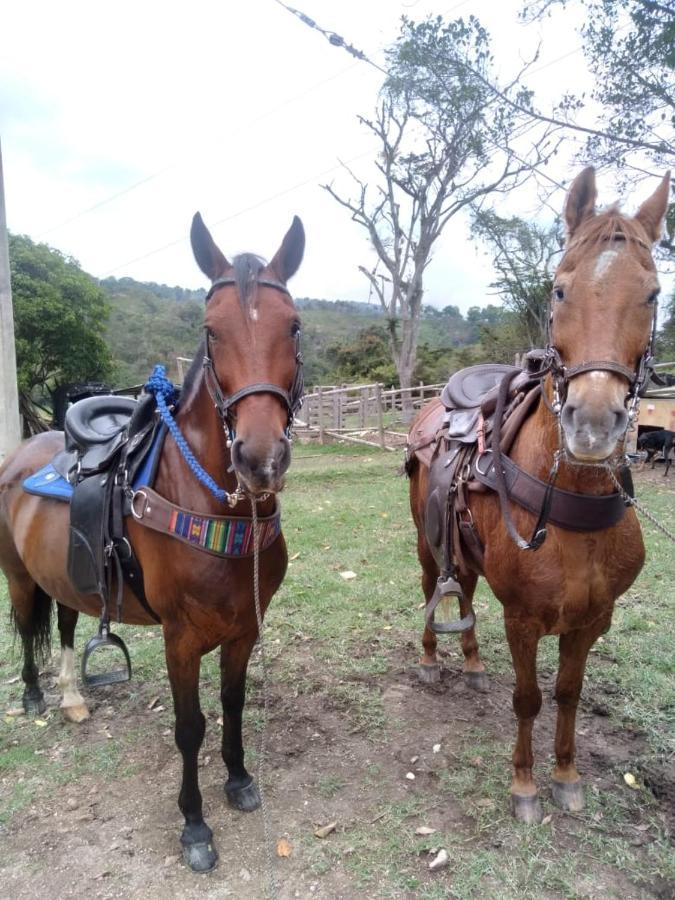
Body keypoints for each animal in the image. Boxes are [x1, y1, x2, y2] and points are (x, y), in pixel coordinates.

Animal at [0, 213, 306, 872]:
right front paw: (194, 825)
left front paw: (238, 779)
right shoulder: (180, 638)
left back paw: (72, 697)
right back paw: (35, 697)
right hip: (17, 575)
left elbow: (234, 703)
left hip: (68, 575)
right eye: (210, 333)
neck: (213, 507)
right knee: (26, 624)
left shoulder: (245, 628)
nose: (260, 459)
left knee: (66, 622)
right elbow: (189, 727)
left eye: (293, 325)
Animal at [406, 169, 672, 824]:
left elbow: (569, 694)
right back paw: (431, 660)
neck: (572, 511)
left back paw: (473, 664)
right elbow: (528, 698)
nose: (593, 425)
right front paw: (525, 785)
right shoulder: (523, 618)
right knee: (431, 589)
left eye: (653, 294)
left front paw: (567, 776)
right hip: (427, 545)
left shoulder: (594, 620)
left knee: (463, 588)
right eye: (558, 291)